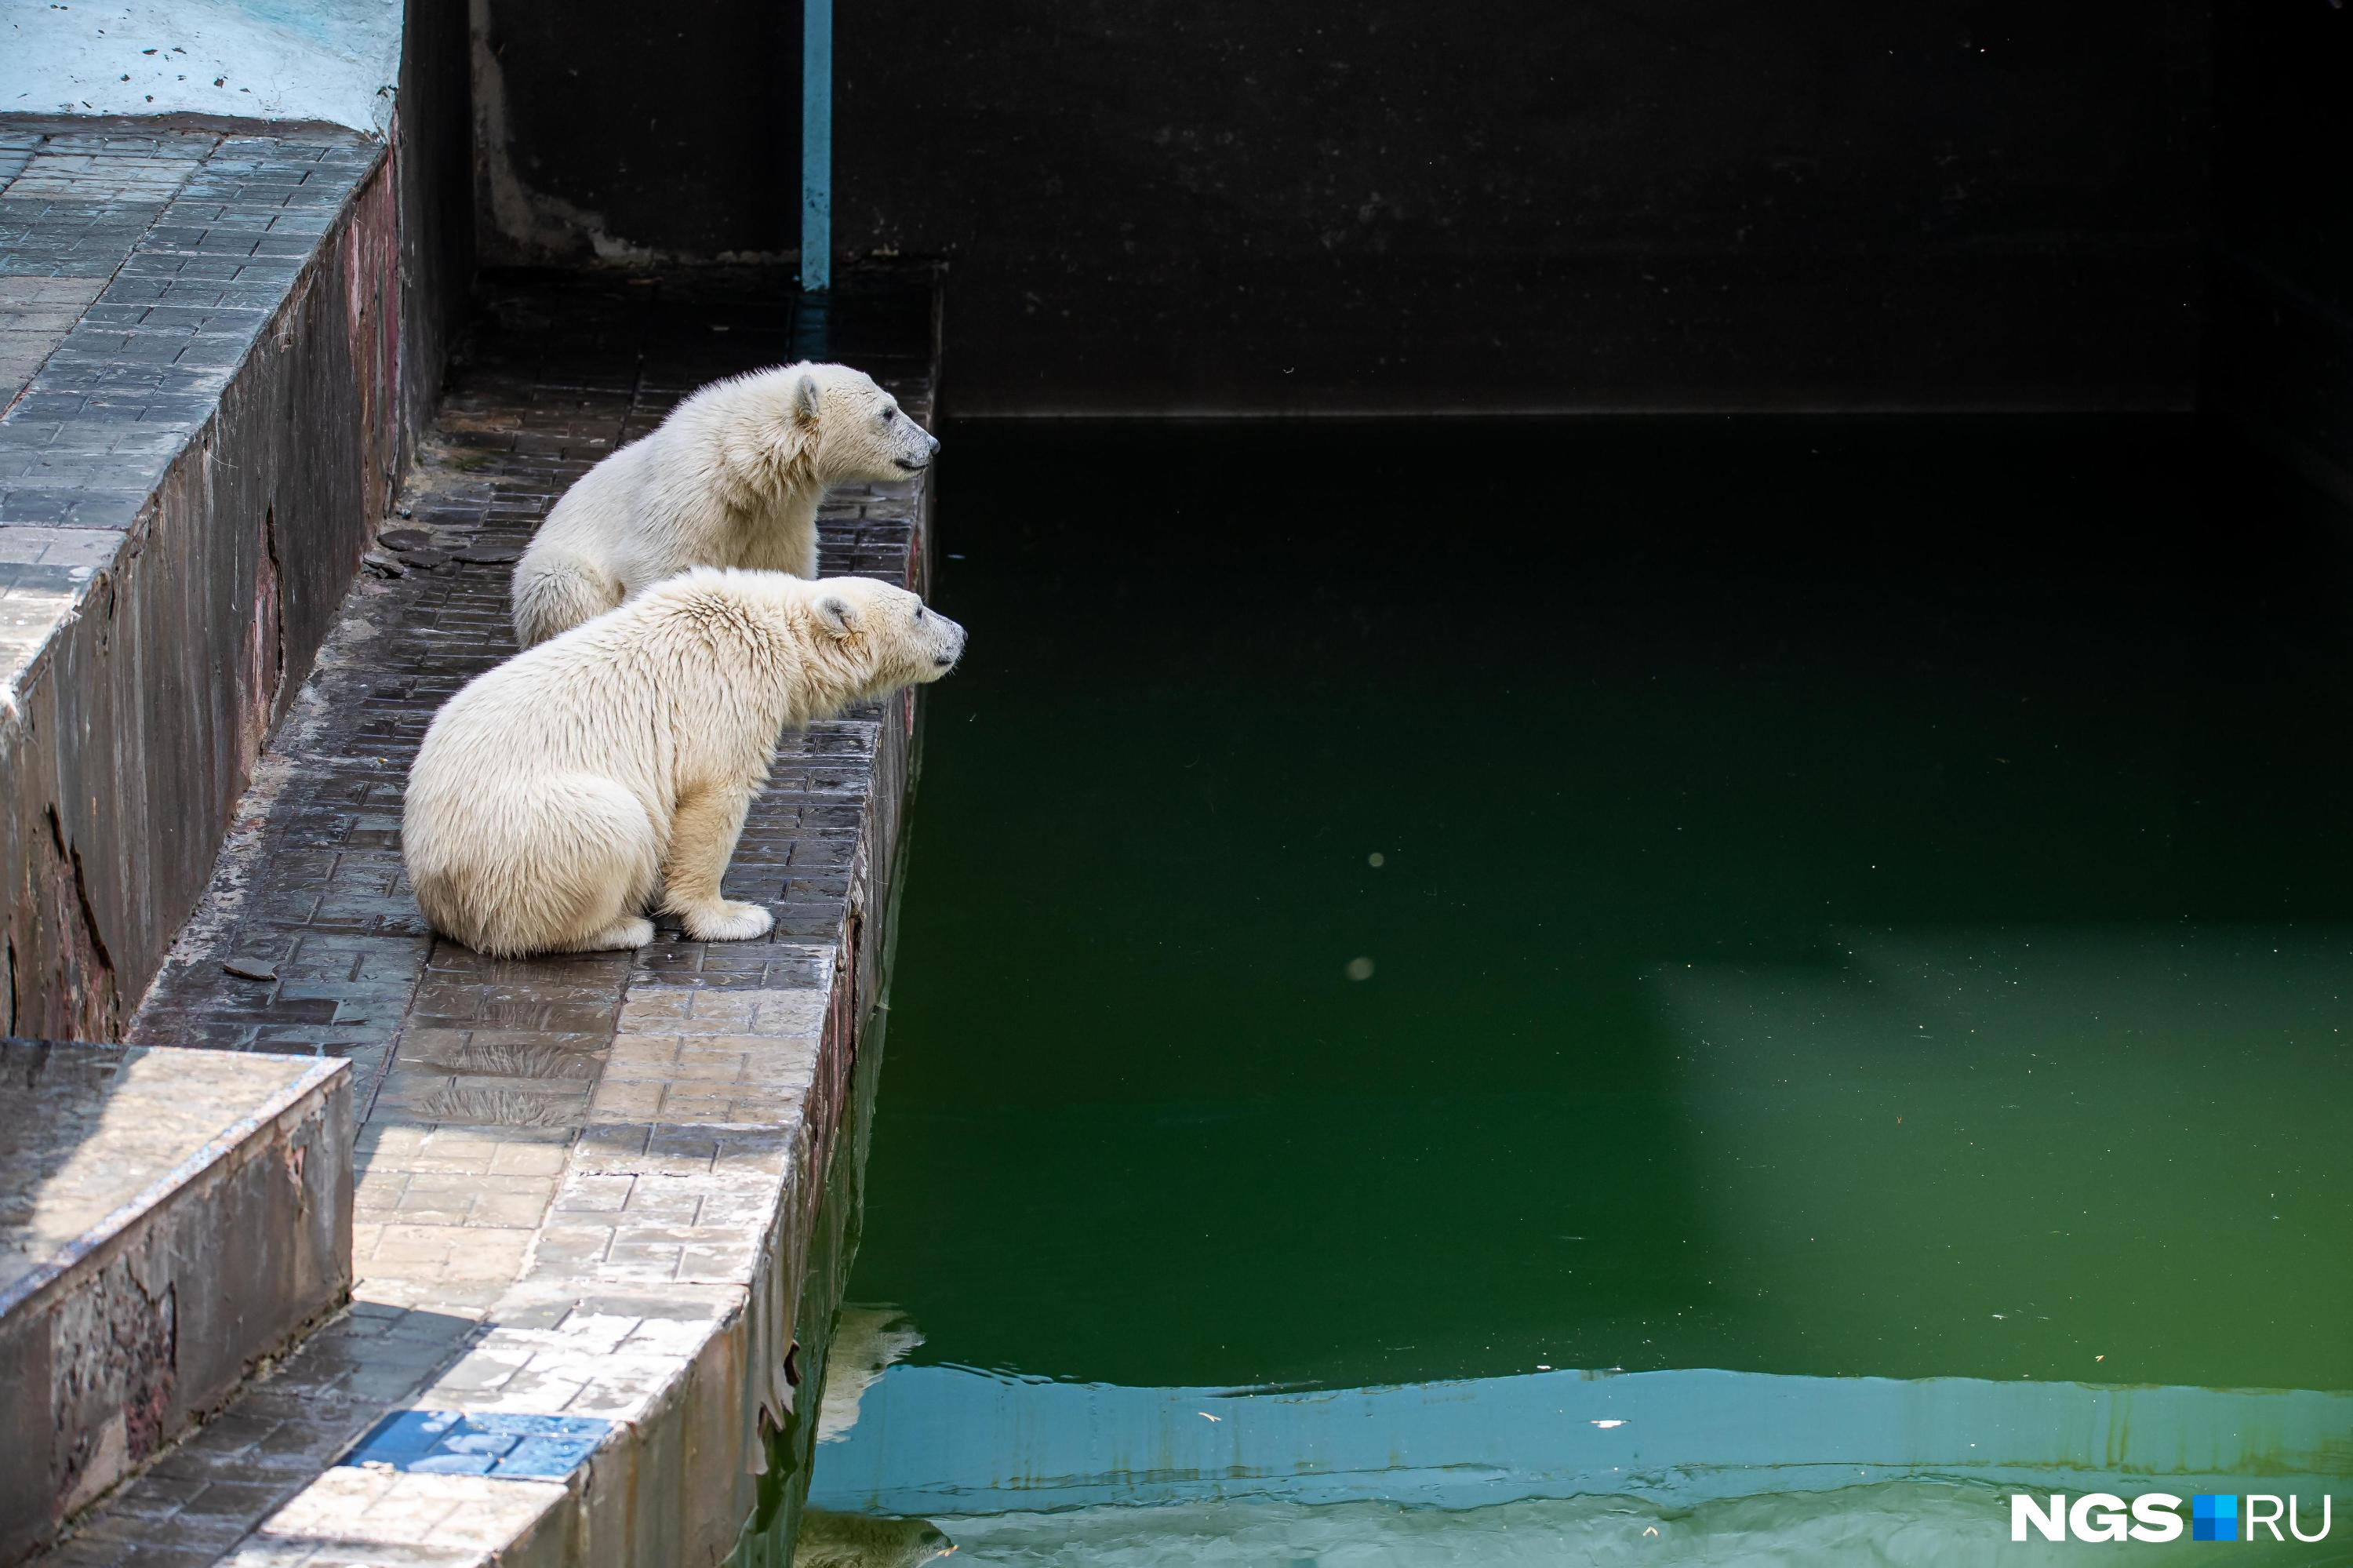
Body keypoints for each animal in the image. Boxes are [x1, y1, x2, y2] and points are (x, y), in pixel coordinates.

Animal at [405, 565, 965, 951]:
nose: (961, 633)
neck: (771, 630)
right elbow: (713, 799)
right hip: (519, 836)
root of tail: (434, 884)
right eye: (919, 609)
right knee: (608, 821)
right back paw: (619, 929)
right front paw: (732, 917)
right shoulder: (727, 695)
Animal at [511, 362, 941, 645]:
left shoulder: (781, 515)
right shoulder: (684, 496)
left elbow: (784, 569)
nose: (933, 445)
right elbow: (657, 567)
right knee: (558, 581)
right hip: (556, 567)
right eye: (888, 412)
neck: (741, 469)